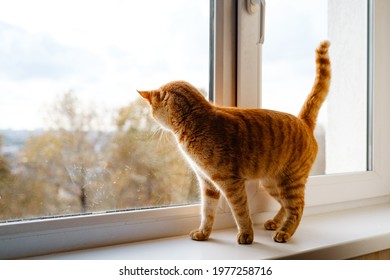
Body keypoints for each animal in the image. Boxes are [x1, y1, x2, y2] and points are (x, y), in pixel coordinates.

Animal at [139, 40, 330, 243]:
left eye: (152, 111)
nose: (151, 117)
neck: (195, 120)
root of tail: (303, 121)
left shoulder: (231, 183)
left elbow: (240, 211)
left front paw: (246, 235)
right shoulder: (207, 183)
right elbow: (207, 212)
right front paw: (203, 233)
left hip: (290, 181)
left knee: (297, 207)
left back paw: (284, 232)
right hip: (272, 183)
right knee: (285, 205)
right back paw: (274, 223)